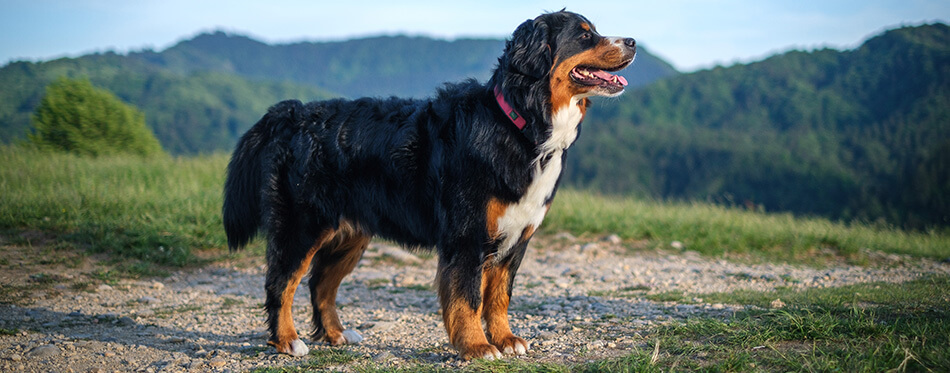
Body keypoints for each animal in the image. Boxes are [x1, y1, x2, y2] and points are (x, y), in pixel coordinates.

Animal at [224, 10, 640, 358]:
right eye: (585, 35)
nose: (634, 41)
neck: (520, 125)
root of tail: (291, 113)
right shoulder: (467, 235)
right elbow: (468, 297)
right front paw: (477, 346)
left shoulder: (516, 240)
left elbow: (499, 297)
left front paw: (505, 339)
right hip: (302, 226)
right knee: (281, 283)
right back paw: (287, 341)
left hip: (351, 234)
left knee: (320, 284)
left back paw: (336, 334)